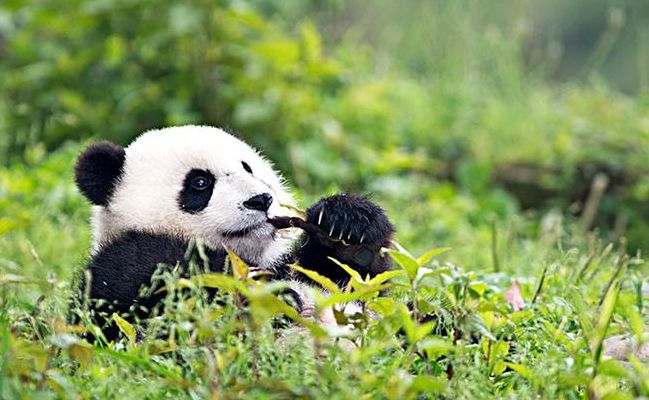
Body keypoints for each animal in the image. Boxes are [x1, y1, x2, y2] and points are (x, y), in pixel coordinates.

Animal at [72, 125, 394, 340]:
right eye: (200, 182)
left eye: (248, 168)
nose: (261, 200)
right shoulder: (122, 271)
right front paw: (274, 297)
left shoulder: (294, 266)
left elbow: (361, 281)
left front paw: (347, 224)